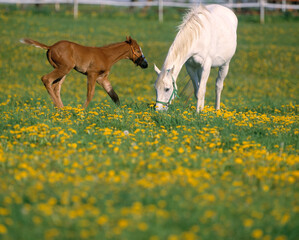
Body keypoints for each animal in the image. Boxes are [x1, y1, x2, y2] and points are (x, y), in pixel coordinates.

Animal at [19, 36, 149, 108]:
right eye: (137, 50)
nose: (145, 64)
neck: (106, 55)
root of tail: (50, 47)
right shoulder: (92, 74)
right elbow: (90, 94)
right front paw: (82, 111)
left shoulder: (102, 78)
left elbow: (114, 95)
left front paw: (120, 111)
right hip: (64, 68)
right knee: (46, 79)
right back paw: (59, 107)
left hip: (63, 70)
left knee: (56, 86)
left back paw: (61, 108)